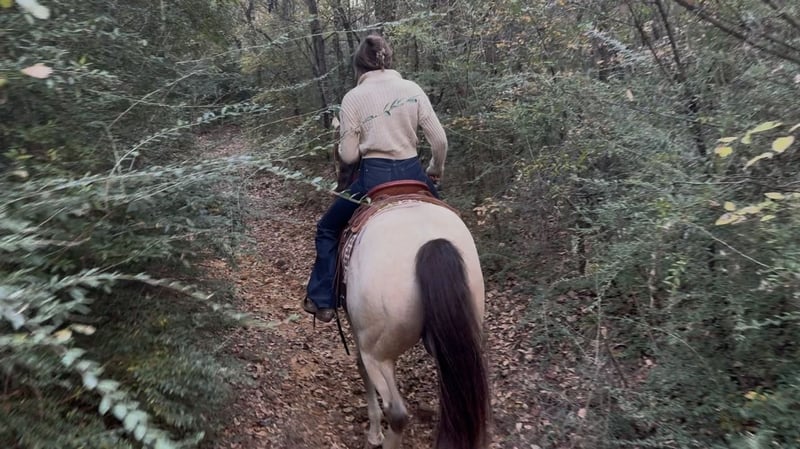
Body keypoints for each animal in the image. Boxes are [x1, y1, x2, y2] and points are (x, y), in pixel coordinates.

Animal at [344, 192, 490, 449]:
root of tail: (431, 243)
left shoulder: (358, 332)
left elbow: (361, 368)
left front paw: (374, 434)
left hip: (378, 353)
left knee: (397, 413)